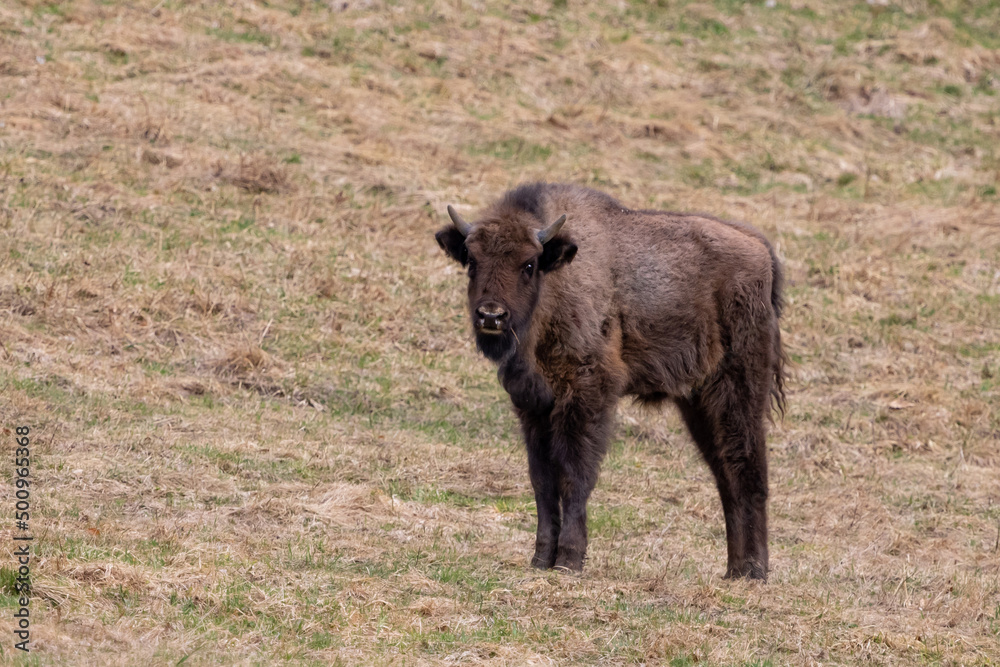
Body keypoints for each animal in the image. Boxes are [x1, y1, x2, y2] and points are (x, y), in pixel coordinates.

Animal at [435, 183, 785, 580]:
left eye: (528, 264)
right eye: (472, 261)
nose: (491, 316)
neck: (556, 282)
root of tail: (762, 252)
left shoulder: (588, 395)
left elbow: (574, 474)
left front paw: (569, 561)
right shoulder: (534, 406)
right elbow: (542, 481)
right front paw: (540, 559)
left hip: (739, 390)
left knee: (746, 467)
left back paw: (753, 571)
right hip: (698, 401)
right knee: (725, 474)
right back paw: (734, 570)